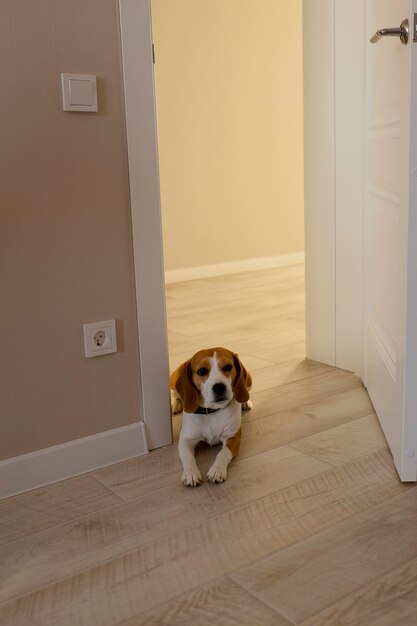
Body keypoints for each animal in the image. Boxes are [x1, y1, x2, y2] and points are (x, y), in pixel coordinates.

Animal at [168, 348, 250, 486]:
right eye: (202, 371)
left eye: (228, 367)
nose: (219, 387)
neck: (211, 411)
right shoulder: (185, 440)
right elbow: (188, 457)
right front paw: (191, 473)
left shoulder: (233, 438)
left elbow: (222, 453)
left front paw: (217, 470)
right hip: (173, 383)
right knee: (176, 395)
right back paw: (176, 405)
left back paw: (245, 402)